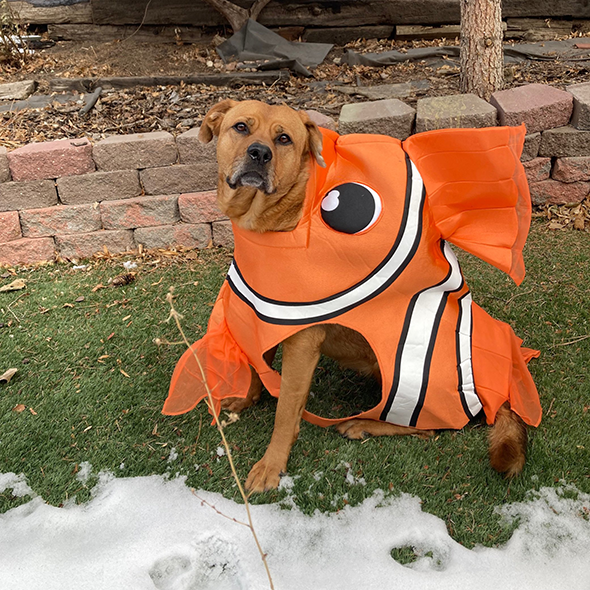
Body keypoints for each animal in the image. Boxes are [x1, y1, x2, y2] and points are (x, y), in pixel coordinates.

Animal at [165, 100, 540, 494]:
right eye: (240, 127)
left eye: (283, 139)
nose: (259, 153)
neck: (277, 221)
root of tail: (499, 390)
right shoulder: (260, 314)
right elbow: (257, 363)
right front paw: (247, 396)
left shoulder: (302, 343)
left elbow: (285, 411)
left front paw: (271, 466)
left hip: (408, 374)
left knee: (429, 428)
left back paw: (362, 423)